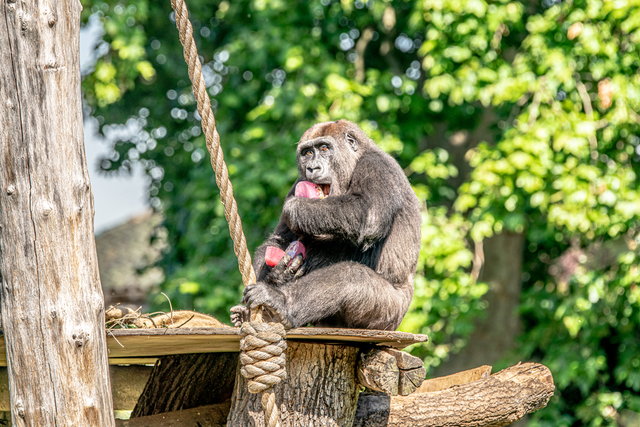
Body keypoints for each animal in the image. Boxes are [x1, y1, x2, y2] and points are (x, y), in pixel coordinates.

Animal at [232, 120, 422, 332]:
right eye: (307, 153)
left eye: (324, 148)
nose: (312, 168)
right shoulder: (299, 181)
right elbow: (278, 241)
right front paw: (278, 275)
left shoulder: (377, 165)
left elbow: (368, 214)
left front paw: (295, 208)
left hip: (391, 315)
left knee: (350, 277)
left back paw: (280, 303)